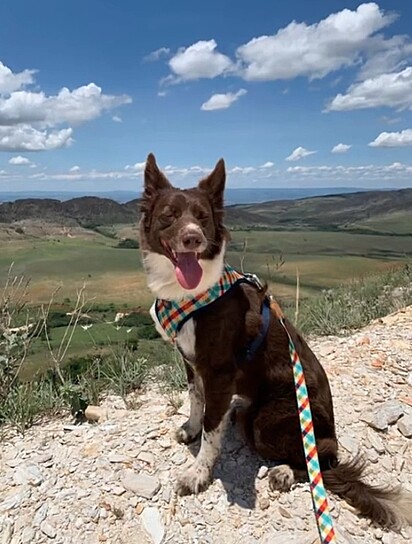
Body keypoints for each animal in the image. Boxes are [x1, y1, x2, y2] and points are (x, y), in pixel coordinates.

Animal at [140, 152, 412, 528]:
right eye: (169, 214)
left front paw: (198, 474)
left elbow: (211, 426)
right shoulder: (191, 361)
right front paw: (190, 429)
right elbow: (196, 400)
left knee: (319, 461)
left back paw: (284, 471)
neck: (191, 294)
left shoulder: (220, 372)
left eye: (202, 217)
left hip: (267, 422)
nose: (192, 238)